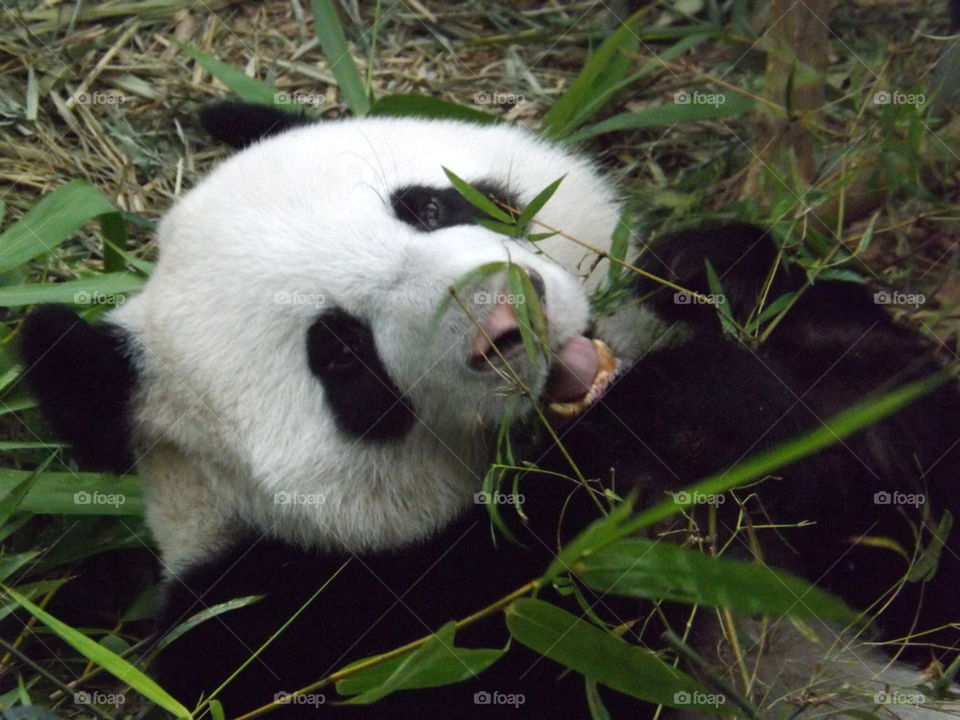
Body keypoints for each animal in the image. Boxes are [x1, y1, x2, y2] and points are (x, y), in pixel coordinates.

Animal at [18, 102, 960, 719]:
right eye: (340, 354)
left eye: (428, 204)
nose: (507, 322)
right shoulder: (299, 626)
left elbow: (907, 517)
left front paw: (707, 276)